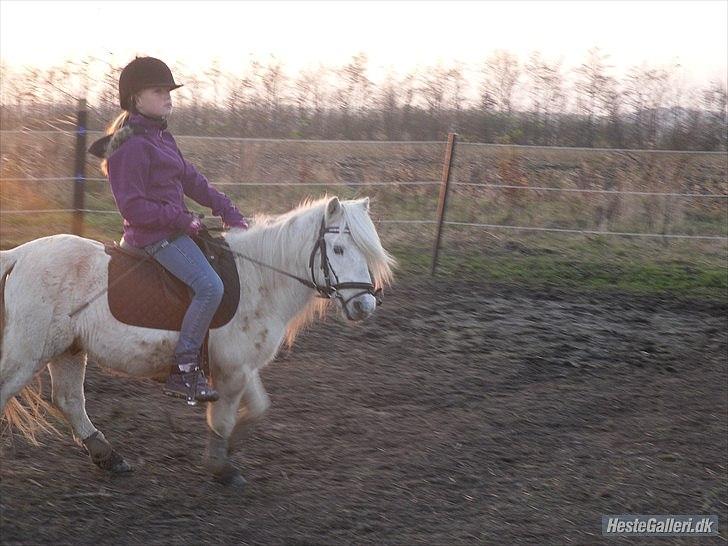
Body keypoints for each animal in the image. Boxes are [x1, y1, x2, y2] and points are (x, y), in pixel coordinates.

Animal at [0, 194, 396, 484]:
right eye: (339, 250)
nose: (364, 305)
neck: (259, 278)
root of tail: (19, 255)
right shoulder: (232, 370)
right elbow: (221, 417)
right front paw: (221, 467)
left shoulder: (240, 365)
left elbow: (258, 407)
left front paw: (231, 447)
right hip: (28, 352)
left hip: (67, 349)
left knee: (69, 400)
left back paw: (109, 457)